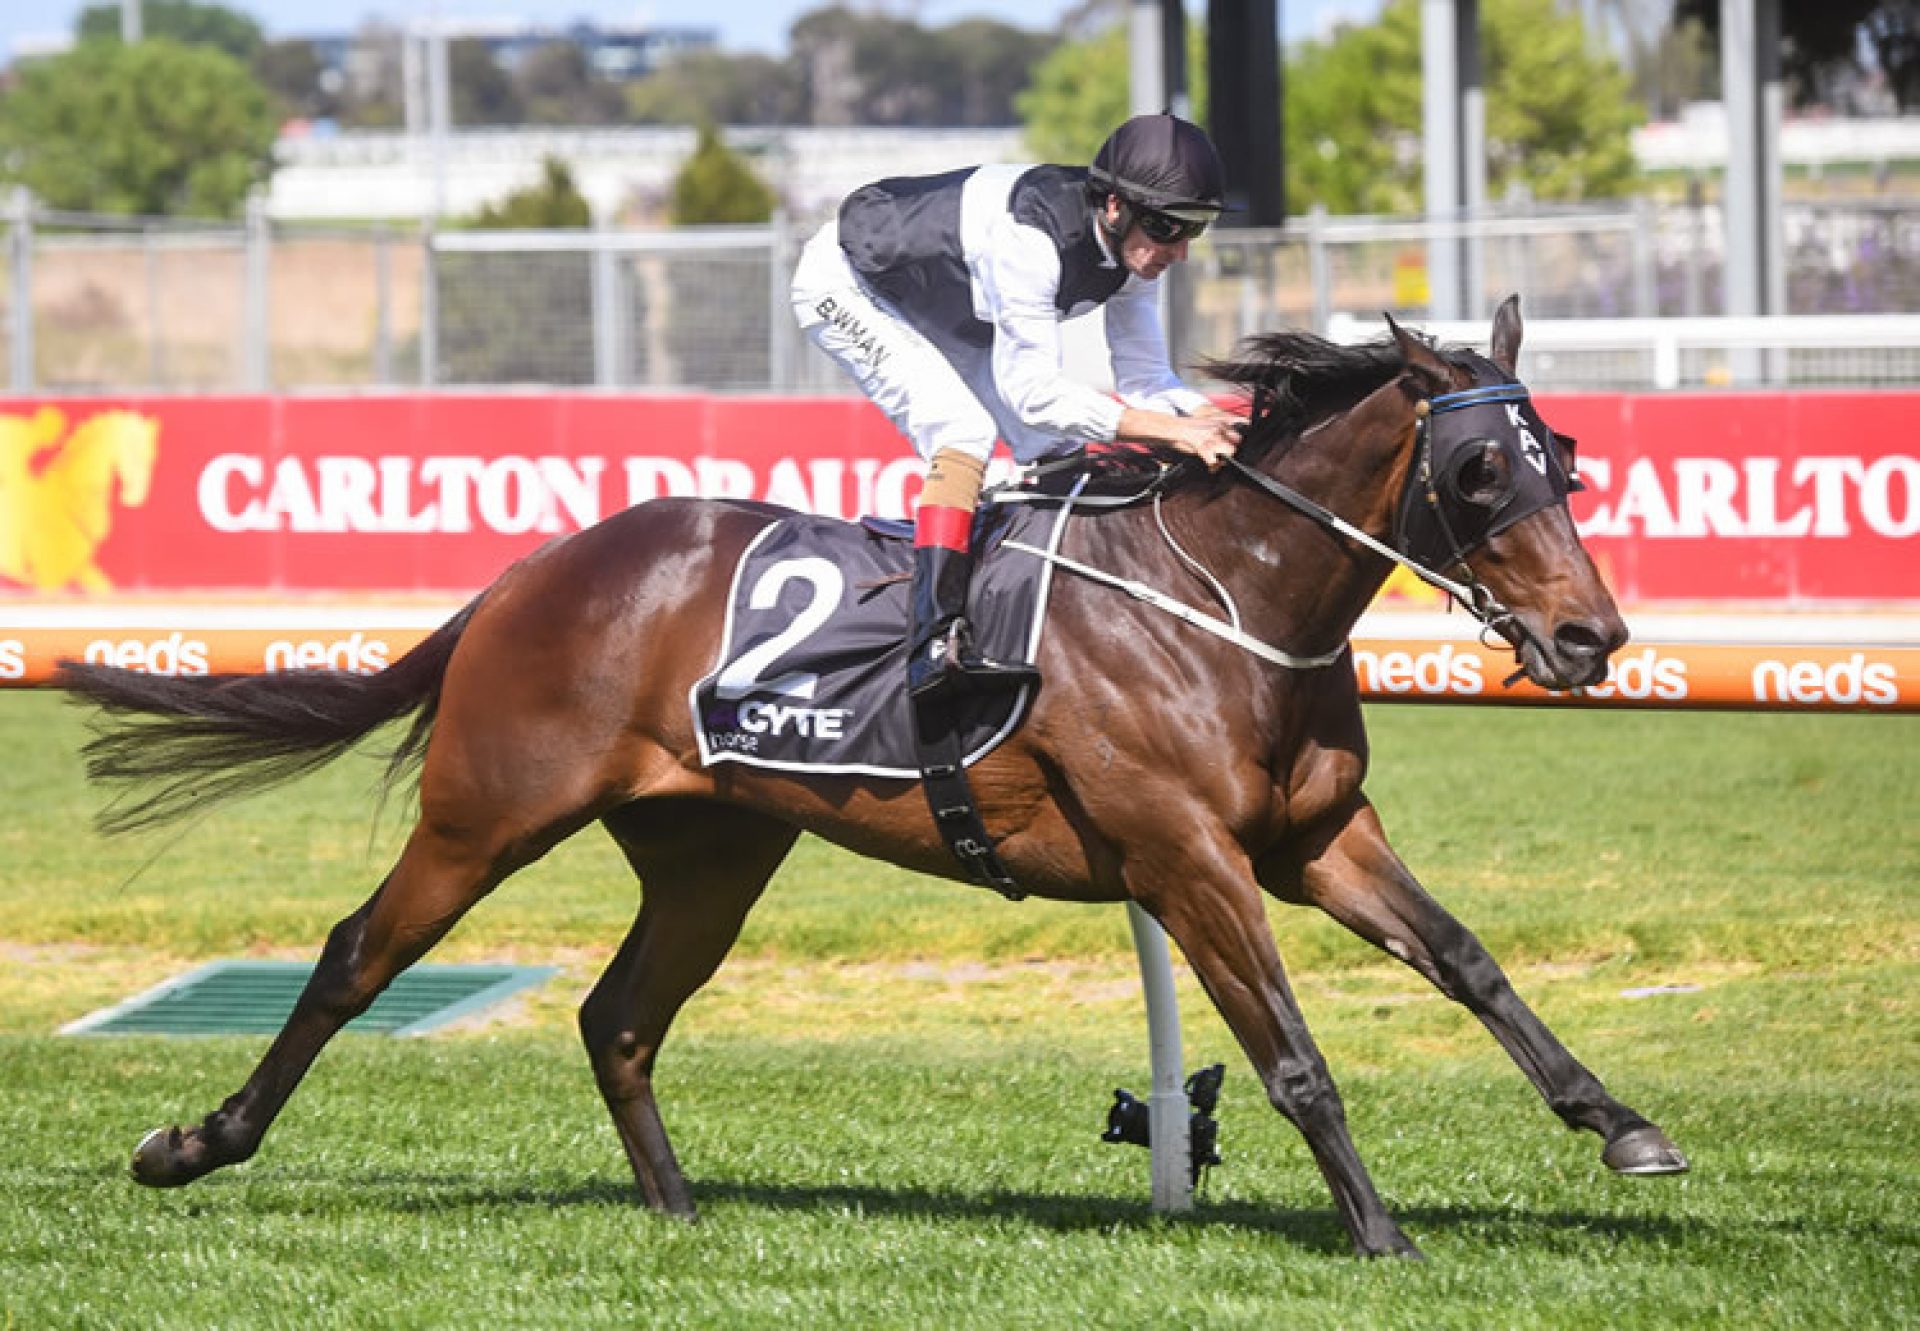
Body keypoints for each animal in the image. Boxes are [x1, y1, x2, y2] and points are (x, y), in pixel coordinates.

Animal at [56, 297, 1681, 1259]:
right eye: (1480, 473)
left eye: (1567, 456)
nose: (1590, 636)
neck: (1222, 594)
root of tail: (536, 570)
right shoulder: (1184, 856)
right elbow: (1291, 1051)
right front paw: (1381, 1233)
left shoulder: (1318, 835)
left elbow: (1469, 959)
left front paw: (1622, 1125)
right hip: (490, 807)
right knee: (350, 957)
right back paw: (193, 1142)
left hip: (711, 847)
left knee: (618, 1014)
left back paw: (679, 1210)